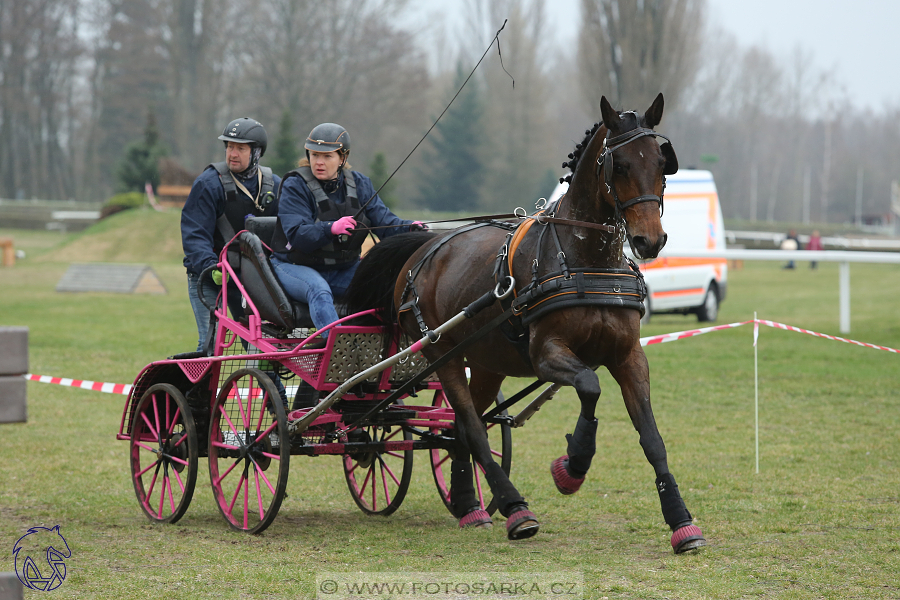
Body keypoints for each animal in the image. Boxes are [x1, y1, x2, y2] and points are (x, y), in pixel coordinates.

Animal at [344, 92, 704, 552]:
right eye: (619, 165)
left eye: (662, 163)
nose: (650, 240)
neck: (584, 260)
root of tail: (426, 248)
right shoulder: (546, 354)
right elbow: (589, 385)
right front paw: (572, 466)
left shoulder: (628, 357)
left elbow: (653, 438)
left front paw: (681, 521)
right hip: (443, 355)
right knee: (473, 428)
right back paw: (515, 508)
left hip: (484, 363)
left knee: (462, 428)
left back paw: (470, 505)